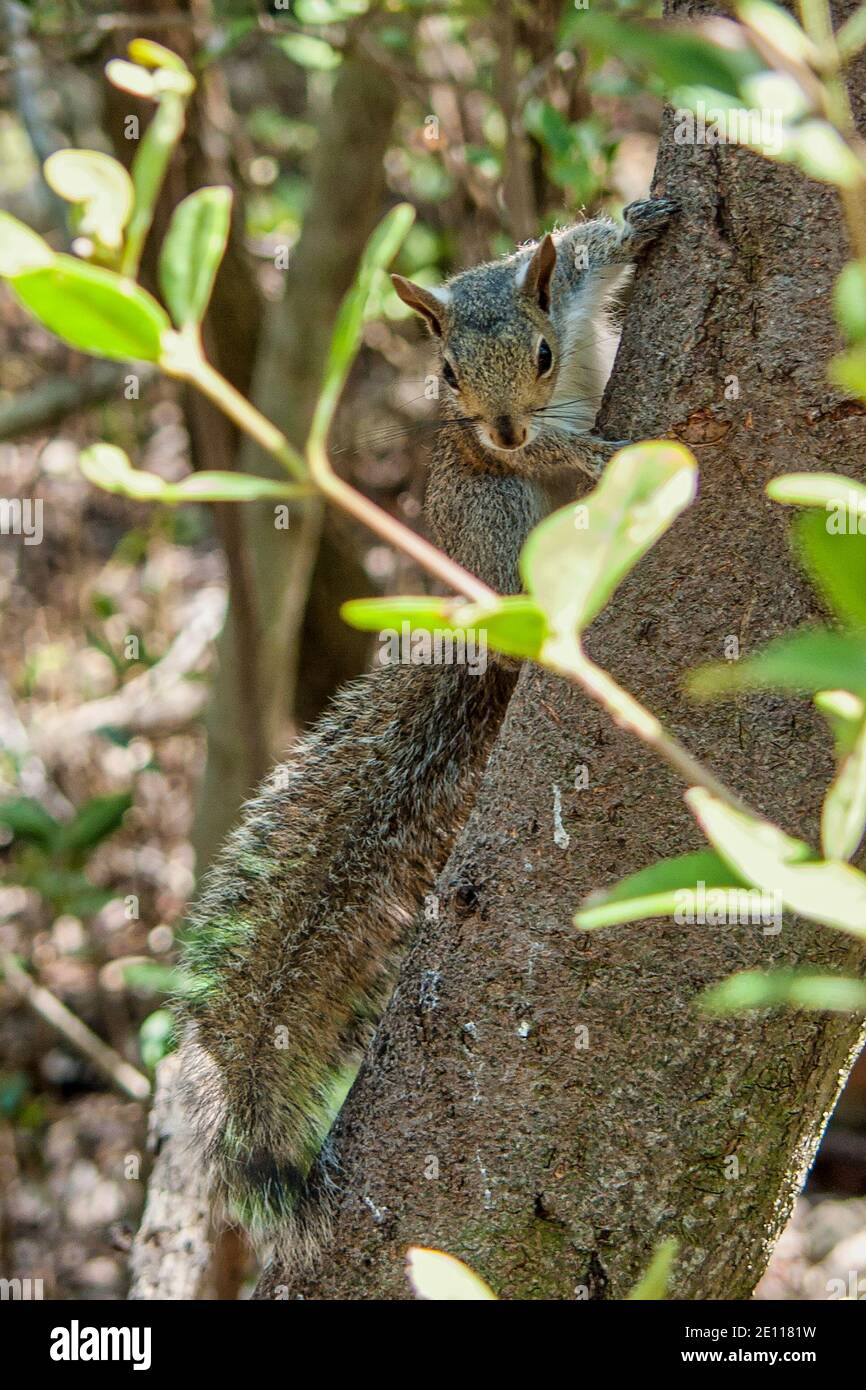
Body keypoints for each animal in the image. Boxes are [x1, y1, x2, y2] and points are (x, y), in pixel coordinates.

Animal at [175, 196, 678, 1265]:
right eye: (443, 373)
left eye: (543, 353)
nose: (499, 421)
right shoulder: (500, 453)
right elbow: (552, 453)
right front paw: (594, 455)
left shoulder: (561, 285)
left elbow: (590, 249)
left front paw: (643, 217)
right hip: (488, 515)